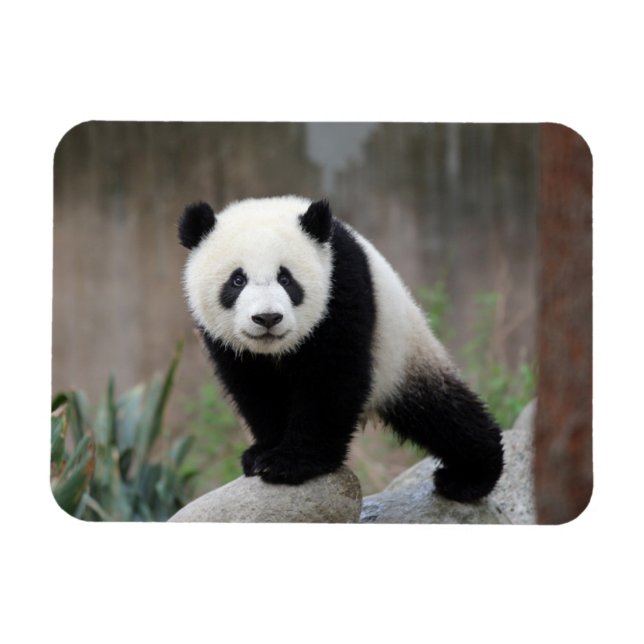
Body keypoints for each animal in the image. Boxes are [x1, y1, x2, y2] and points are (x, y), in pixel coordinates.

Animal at [179, 196, 503, 502]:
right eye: (237, 280)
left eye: (286, 278)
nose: (268, 318)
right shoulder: (228, 344)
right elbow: (256, 388)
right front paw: (262, 452)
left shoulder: (341, 287)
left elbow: (331, 378)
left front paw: (291, 463)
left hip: (402, 353)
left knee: (442, 412)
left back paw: (469, 477)